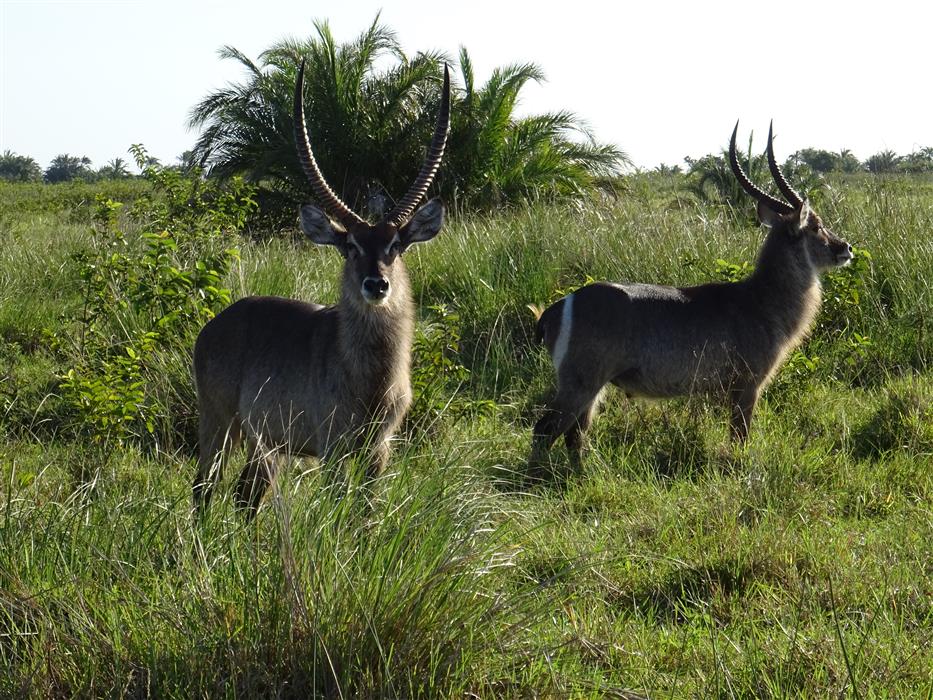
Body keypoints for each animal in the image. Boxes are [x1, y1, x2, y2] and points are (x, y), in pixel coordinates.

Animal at [192, 61, 451, 517]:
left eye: (395, 245)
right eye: (351, 246)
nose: (376, 284)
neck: (371, 378)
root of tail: (214, 324)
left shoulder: (379, 450)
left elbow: (367, 514)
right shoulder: (333, 448)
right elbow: (338, 506)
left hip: (266, 443)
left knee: (245, 497)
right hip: (219, 422)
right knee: (203, 487)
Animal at [529, 122, 853, 470]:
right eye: (816, 226)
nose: (846, 248)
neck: (761, 301)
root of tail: (558, 307)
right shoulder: (748, 385)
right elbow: (740, 435)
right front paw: (738, 468)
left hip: (591, 387)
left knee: (575, 435)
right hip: (580, 381)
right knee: (544, 429)